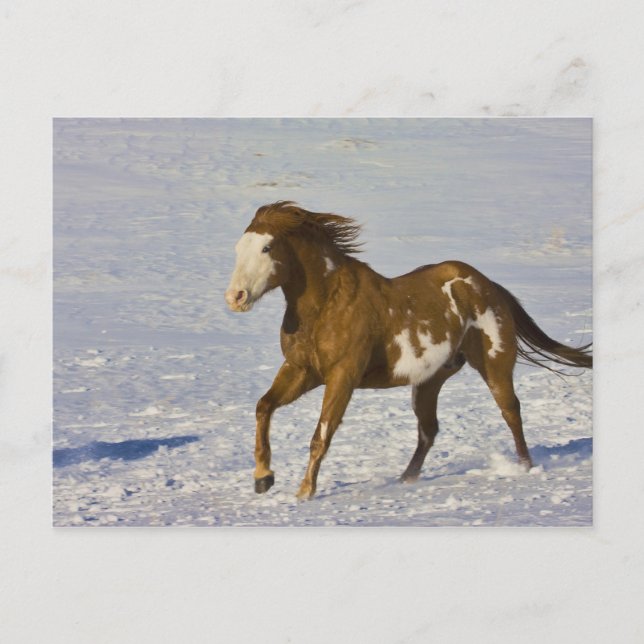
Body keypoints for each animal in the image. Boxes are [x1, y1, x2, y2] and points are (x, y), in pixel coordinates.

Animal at [225, 201, 592, 500]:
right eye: (239, 247)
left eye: (267, 247)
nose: (235, 297)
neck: (327, 304)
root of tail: (488, 286)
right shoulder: (302, 370)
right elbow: (264, 407)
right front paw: (263, 478)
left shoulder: (342, 376)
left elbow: (321, 434)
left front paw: (304, 492)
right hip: (430, 380)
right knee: (429, 430)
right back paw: (406, 479)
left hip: (494, 365)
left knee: (511, 411)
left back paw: (525, 467)